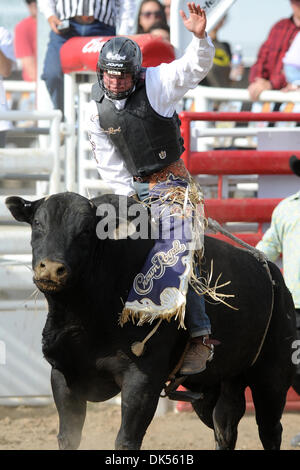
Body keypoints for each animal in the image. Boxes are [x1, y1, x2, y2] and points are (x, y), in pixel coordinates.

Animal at [5, 193, 296, 450]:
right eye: (37, 223)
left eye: (86, 230)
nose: (52, 269)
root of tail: (274, 275)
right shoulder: (62, 375)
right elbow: (69, 437)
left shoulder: (143, 380)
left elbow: (126, 440)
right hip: (217, 385)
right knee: (225, 428)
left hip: (272, 378)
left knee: (270, 430)